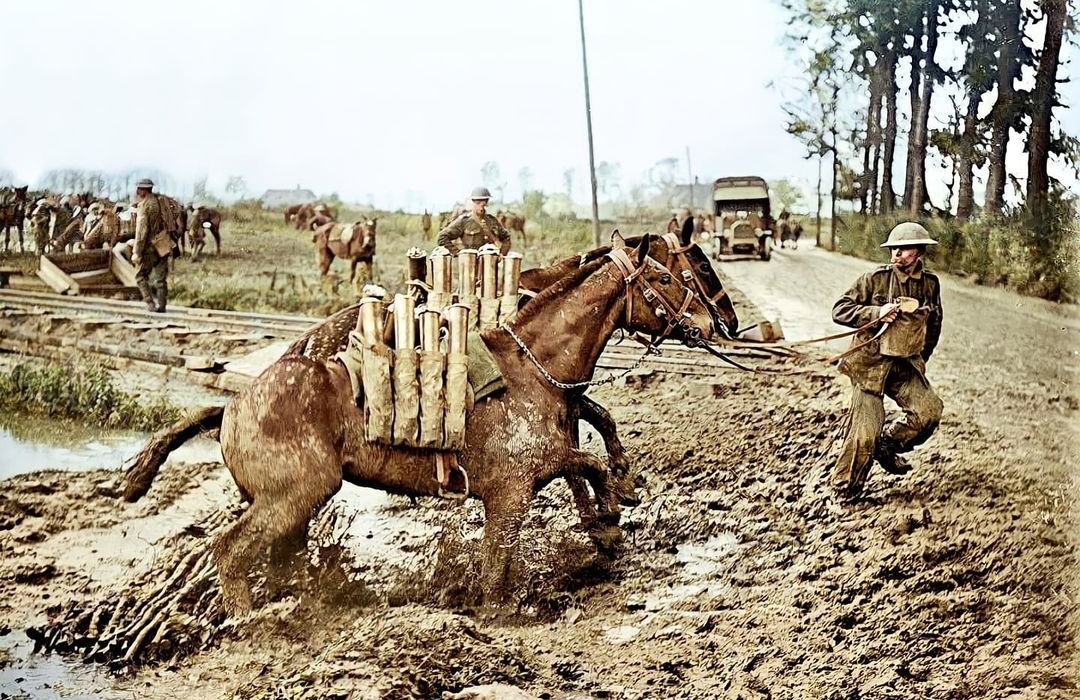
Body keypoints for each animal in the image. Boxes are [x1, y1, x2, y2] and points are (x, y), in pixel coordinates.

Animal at [124, 237, 717, 613]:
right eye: (666, 275)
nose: (715, 324)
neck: (531, 366)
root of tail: (230, 407)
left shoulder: (539, 467)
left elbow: (589, 456)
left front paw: (611, 517)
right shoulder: (514, 490)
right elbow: (506, 557)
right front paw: (609, 516)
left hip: (289, 503)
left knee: (274, 557)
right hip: (293, 496)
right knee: (229, 551)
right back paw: (256, 624)